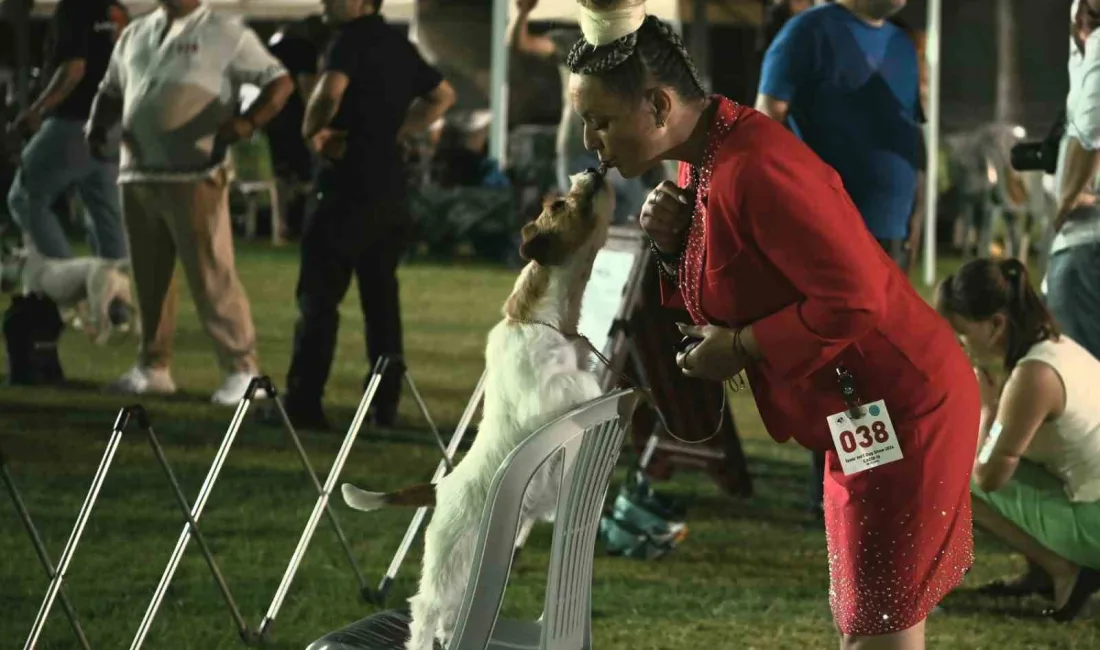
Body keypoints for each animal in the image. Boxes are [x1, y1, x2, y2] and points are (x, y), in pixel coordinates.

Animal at [338, 169, 616, 650]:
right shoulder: (549, 390)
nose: (593, 171)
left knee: (446, 618)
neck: (541, 317)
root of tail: (440, 489)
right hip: (449, 565)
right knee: (425, 610)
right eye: (558, 204)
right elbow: (578, 384)